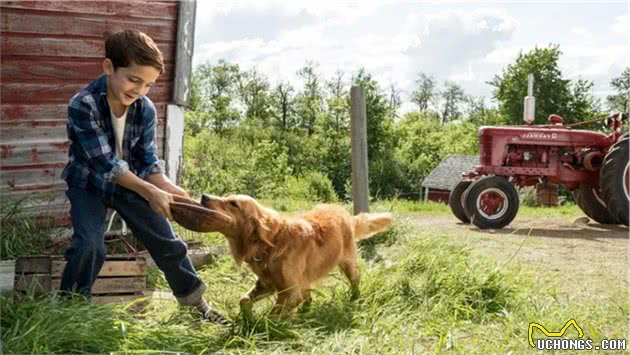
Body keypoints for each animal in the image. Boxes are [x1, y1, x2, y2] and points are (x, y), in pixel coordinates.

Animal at [170, 195, 392, 318]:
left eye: (233, 203)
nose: (204, 197)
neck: (271, 244)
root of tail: (345, 213)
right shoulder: (267, 283)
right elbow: (244, 299)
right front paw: (247, 320)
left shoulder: (289, 290)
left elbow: (274, 314)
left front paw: (263, 327)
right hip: (305, 278)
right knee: (308, 295)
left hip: (347, 264)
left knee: (355, 279)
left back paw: (354, 298)